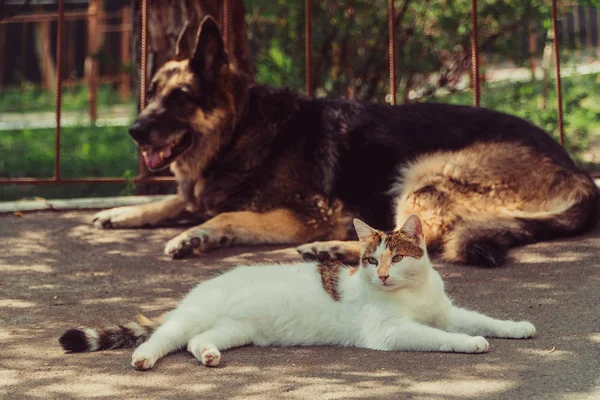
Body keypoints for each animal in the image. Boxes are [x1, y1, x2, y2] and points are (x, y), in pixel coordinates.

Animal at [59, 216, 536, 368]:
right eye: (370, 260)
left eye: (396, 258)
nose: (382, 276)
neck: (412, 293)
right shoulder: (390, 332)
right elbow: (442, 337)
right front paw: (471, 344)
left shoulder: (445, 311)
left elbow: (481, 318)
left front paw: (517, 327)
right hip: (190, 318)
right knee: (164, 337)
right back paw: (143, 358)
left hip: (234, 330)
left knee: (197, 342)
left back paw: (209, 355)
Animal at [92, 16, 600, 266]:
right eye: (152, 93)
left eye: (180, 98)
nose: (134, 131)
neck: (243, 132)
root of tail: (576, 171)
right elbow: (175, 201)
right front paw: (120, 213)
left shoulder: (313, 215)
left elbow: (223, 213)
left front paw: (193, 235)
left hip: (423, 173)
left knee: (417, 242)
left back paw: (334, 249)